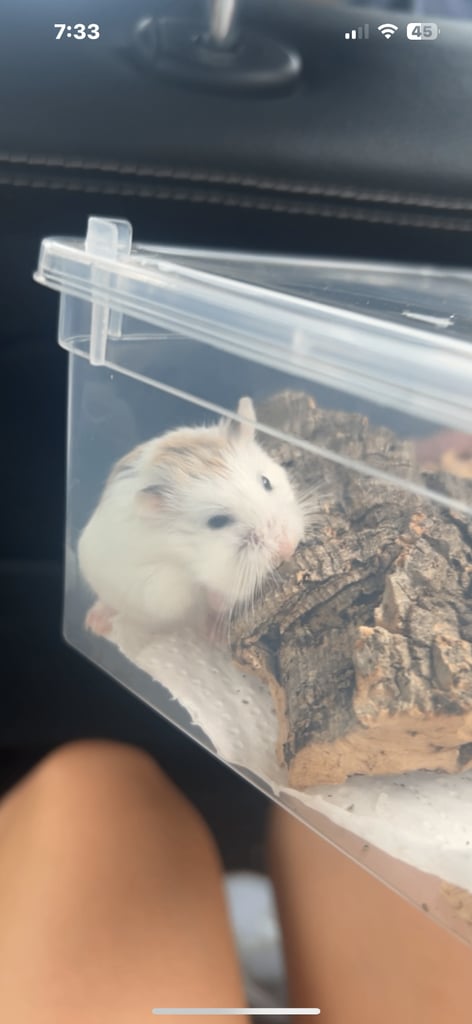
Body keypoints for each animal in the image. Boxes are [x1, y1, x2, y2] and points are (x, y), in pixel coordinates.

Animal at [78, 397, 306, 638]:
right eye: (217, 521)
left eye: (266, 482)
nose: (288, 547)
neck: (184, 554)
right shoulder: (160, 586)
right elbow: (197, 591)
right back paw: (94, 623)